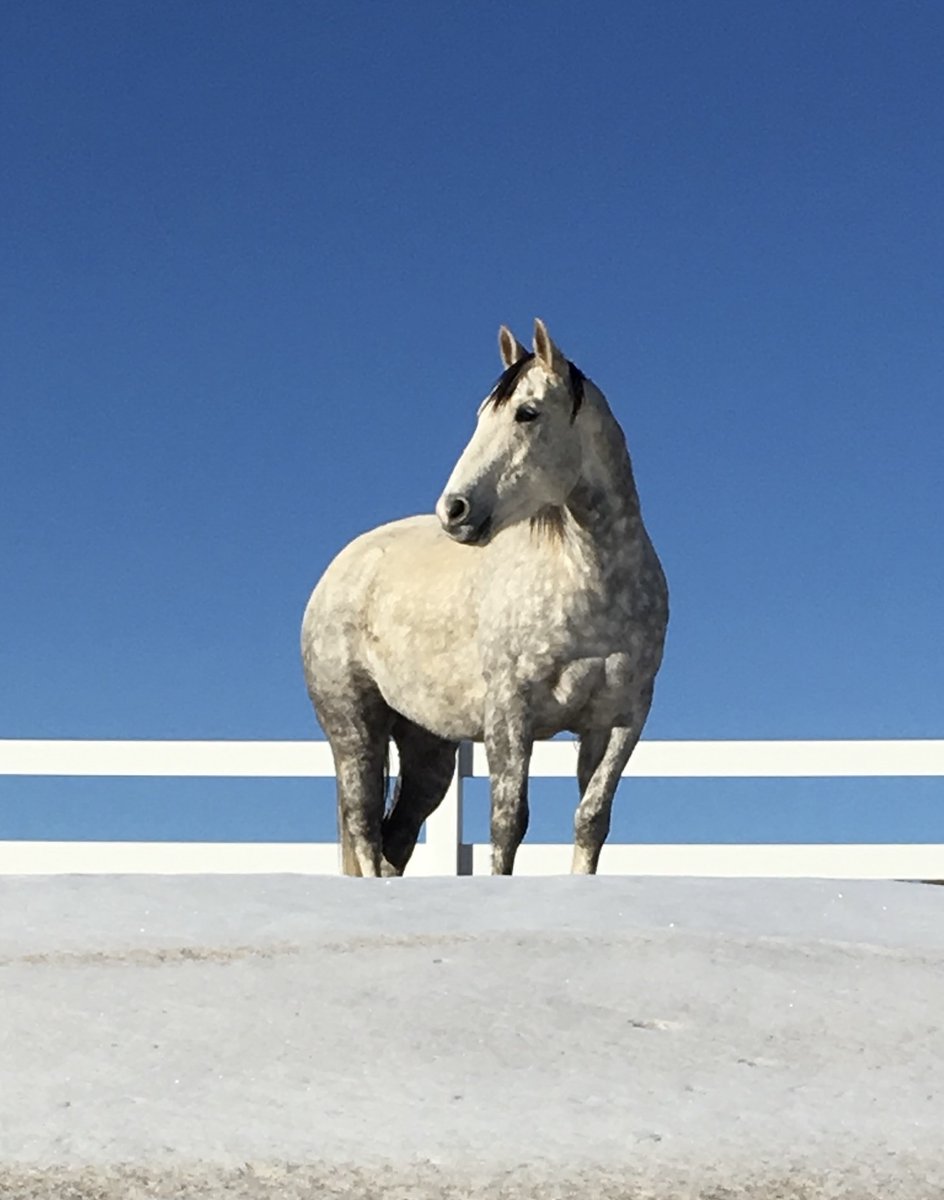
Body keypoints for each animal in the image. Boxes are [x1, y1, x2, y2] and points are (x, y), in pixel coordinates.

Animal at [301, 319, 668, 876]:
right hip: (353, 727)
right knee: (364, 828)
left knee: (395, 837)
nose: (454, 510)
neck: (589, 584)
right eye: (482, 416)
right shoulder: (510, 713)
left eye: (527, 413)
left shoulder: (619, 720)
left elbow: (591, 818)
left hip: (427, 747)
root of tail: (339, 569)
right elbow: (508, 822)